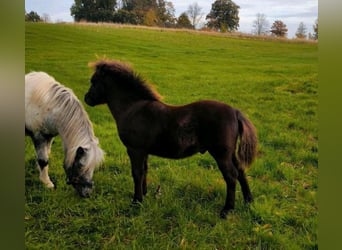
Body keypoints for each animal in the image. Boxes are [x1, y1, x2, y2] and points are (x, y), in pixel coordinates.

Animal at [85, 59, 256, 218]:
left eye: (94, 81)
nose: (86, 98)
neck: (133, 109)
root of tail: (235, 112)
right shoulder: (144, 151)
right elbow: (144, 171)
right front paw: (144, 194)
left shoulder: (135, 150)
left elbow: (137, 173)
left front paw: (136, 201)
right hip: (230, 153)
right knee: (241, 171)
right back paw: (248, 201)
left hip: (221, 154)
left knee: (231, 176)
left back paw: (227, 210)